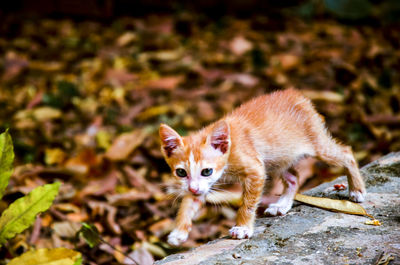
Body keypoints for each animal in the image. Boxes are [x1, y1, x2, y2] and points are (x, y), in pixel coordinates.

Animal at [159, 87, 366, 244]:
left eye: (206, 171)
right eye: (181, 172)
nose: (193, 188)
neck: (229, 150)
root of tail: (296, 94)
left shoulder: (255, 170)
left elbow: (248, 203)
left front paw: (243, 227)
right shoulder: (200, 186)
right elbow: (187, 204)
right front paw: (180, 231)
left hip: (316, 146)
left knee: (346, 153)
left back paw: (357, 190)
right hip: (279, 158)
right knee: (293, 178)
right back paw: (282, 205)